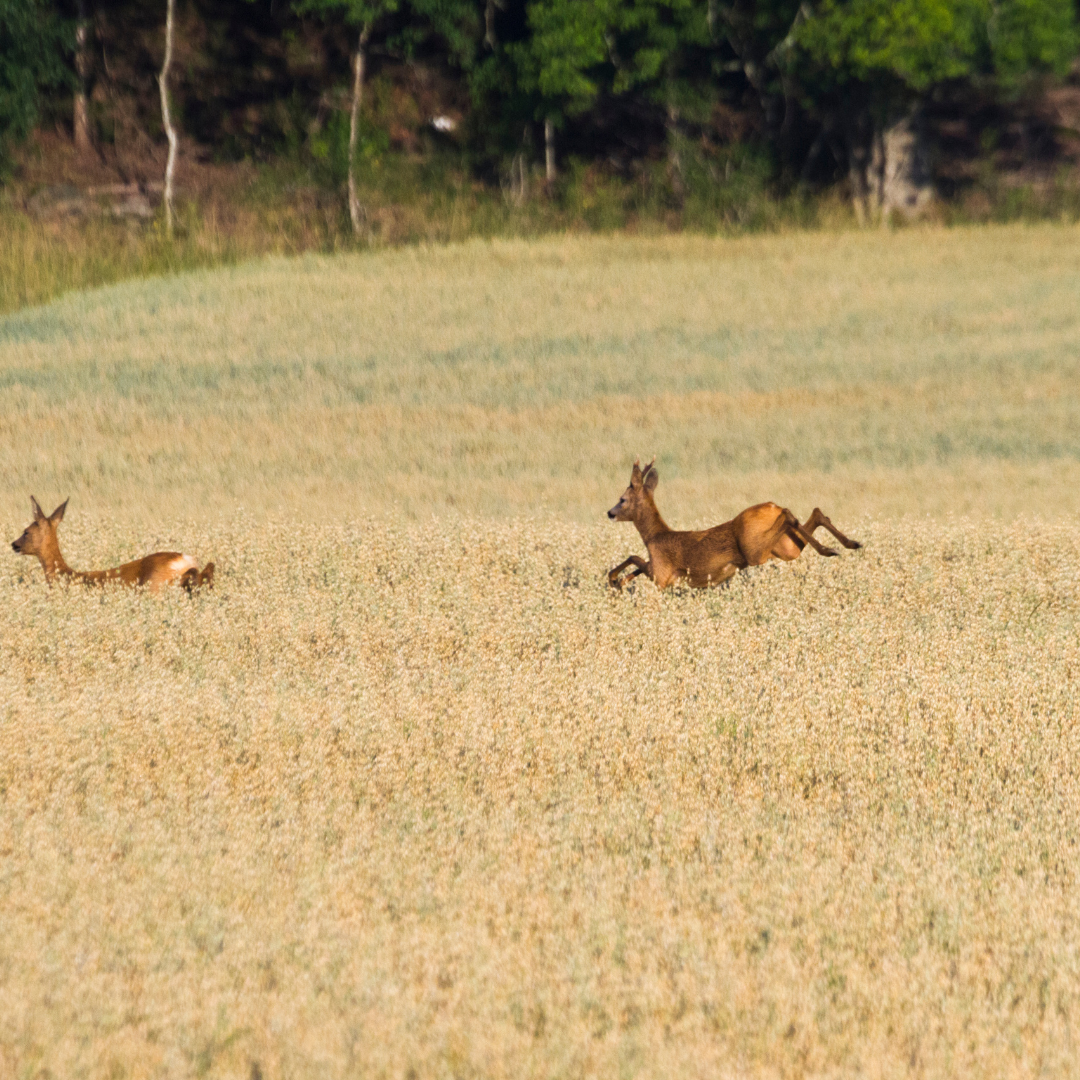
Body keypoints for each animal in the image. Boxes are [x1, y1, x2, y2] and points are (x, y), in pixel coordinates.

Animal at [609, 457, 859, 591]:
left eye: (622, 499)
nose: (610, 513)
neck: (654, 535)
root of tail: (772, 506)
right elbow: (635, 563)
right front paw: (620, 582)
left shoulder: (661, 574)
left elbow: (634, 557)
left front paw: (614, 580)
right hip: (785, 548)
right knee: (814, 514)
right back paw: (848, 544)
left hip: (754, 551)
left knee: (789, 514)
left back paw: (831, 548)